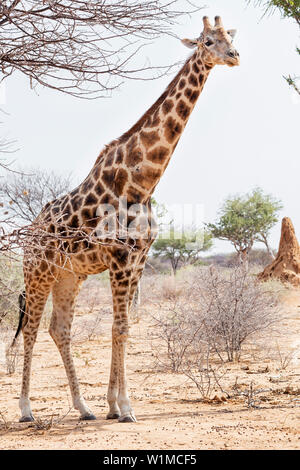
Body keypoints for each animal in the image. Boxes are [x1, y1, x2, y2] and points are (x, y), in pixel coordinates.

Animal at [13, 16, 239, 424]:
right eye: (207, 41)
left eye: (230, 36)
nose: (234, 56)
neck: (142, 182)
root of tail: (30, 235)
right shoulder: (120, 258)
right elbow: (119, 327)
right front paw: (126, 408)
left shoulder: (139, 259)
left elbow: (126, 327)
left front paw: (112, 405)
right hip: (38, 272)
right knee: (32, 329)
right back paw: (26, 410)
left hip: (68, 276)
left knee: (59, 329)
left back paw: (83, 407)